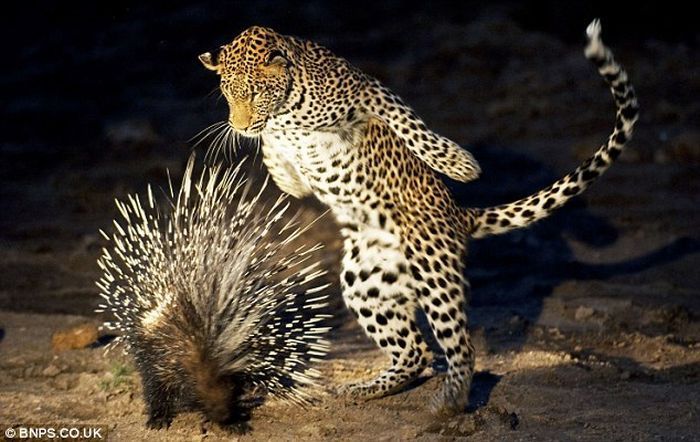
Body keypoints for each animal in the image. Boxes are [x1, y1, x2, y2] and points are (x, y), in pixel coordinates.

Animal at [198, 20, 640, 414]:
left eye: (256, 93)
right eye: (228, 95)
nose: (239, 125)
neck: (286, 109)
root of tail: (460, 216)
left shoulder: (367, 89)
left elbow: (410, 124)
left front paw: (457, 163)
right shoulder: (279, 135)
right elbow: (272, 153)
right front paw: (286, 177)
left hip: (433, 271)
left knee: (460, 347)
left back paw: (449, 403)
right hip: (365, 282)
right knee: (417, 352)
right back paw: (365, 388)